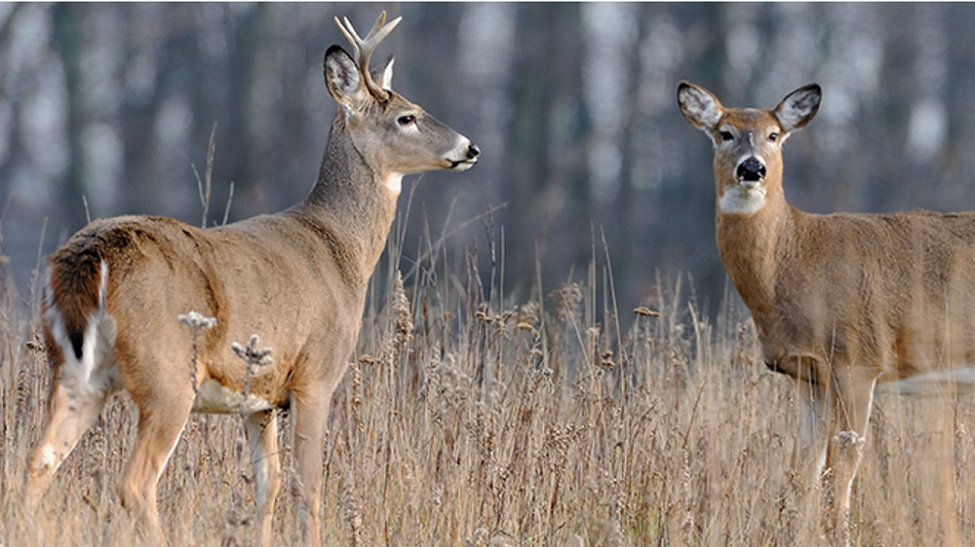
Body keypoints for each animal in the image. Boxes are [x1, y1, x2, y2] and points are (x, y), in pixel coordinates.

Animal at [25, 11, 478, 545]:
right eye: (407, 116)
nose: (470, 147)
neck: (340, 248)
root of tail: (89, 256)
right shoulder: (316, 374)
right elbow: (308, 487)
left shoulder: (261, 399)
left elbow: (270, 485)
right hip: (167, 374)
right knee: (134, 484)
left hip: (74, 370)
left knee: (38, 460)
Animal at [677, 81, 975, 542]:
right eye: (725, 133)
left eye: (774, 135)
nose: (752, 169)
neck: (797, 255)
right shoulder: (807, 374)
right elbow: (802, 468)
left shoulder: (859, 359)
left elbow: (842, 465)